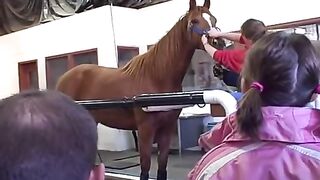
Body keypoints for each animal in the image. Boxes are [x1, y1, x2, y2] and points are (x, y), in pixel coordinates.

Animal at [55, 0, 222, 179]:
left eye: (214, 19)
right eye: (194, 21)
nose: (219, 43)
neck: (156, 77)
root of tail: (63, 78)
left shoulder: (167, 128)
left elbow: (162, 166)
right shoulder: (145, 130)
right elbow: (145, 167)